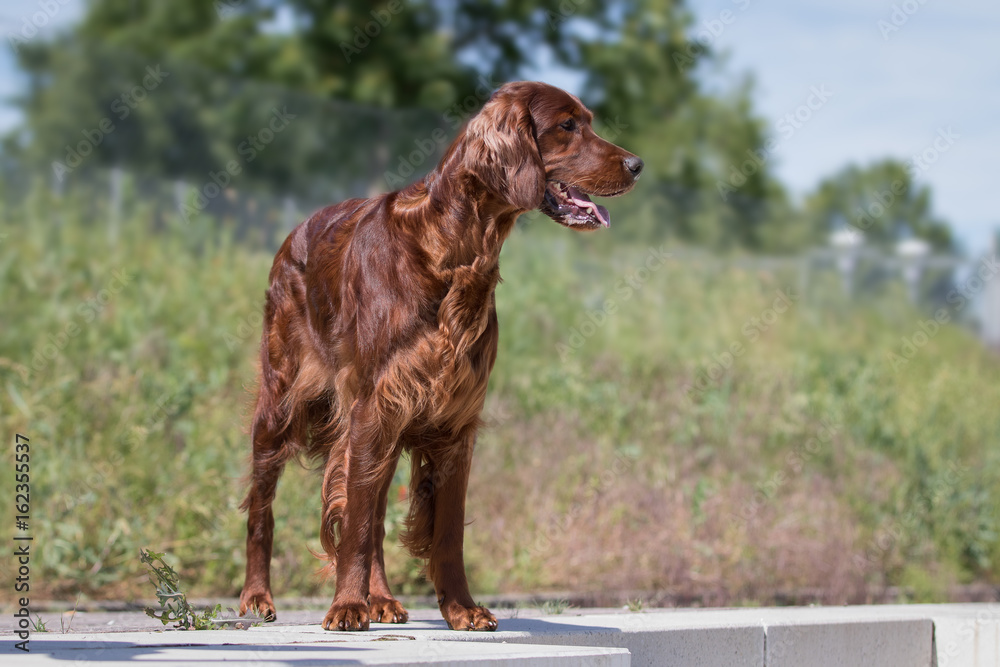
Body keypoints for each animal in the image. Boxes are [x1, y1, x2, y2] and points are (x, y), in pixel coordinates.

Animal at [241, 79, 644, 632]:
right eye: (567, 126)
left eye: (588, 122)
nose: (637, 164)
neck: (455, 252)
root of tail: (293, 234)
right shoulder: (374, 407)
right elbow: (356, 524)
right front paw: (347, 606)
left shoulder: (452, 421)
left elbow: (443, 531)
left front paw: (461, 609)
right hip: (282, 402)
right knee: (264, 507)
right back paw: (258, 597)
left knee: (373, 514)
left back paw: (382, 599)